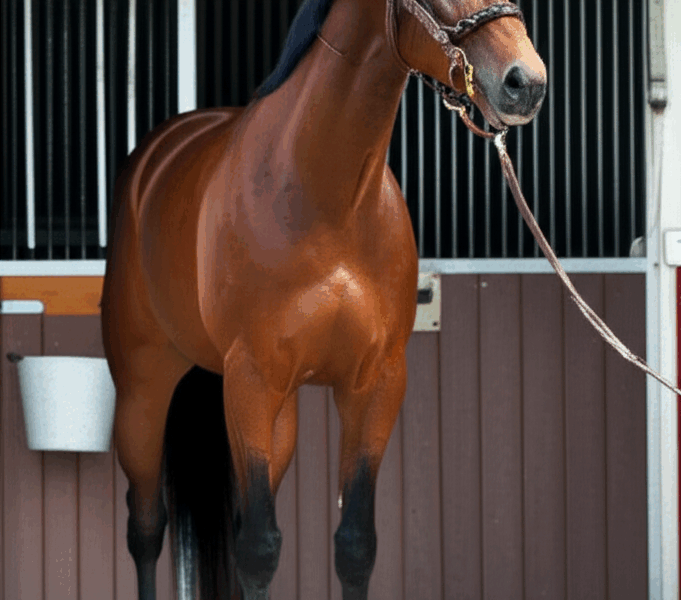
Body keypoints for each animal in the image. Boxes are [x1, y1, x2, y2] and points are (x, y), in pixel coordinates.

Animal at [100, 0, 546, 598]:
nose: (526, 82)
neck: (328, 200)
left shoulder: (376, 384)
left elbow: (354, 544)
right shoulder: (251, 379)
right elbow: (258, 548)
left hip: (278, 415)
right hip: (143, 391)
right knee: (147, 527)